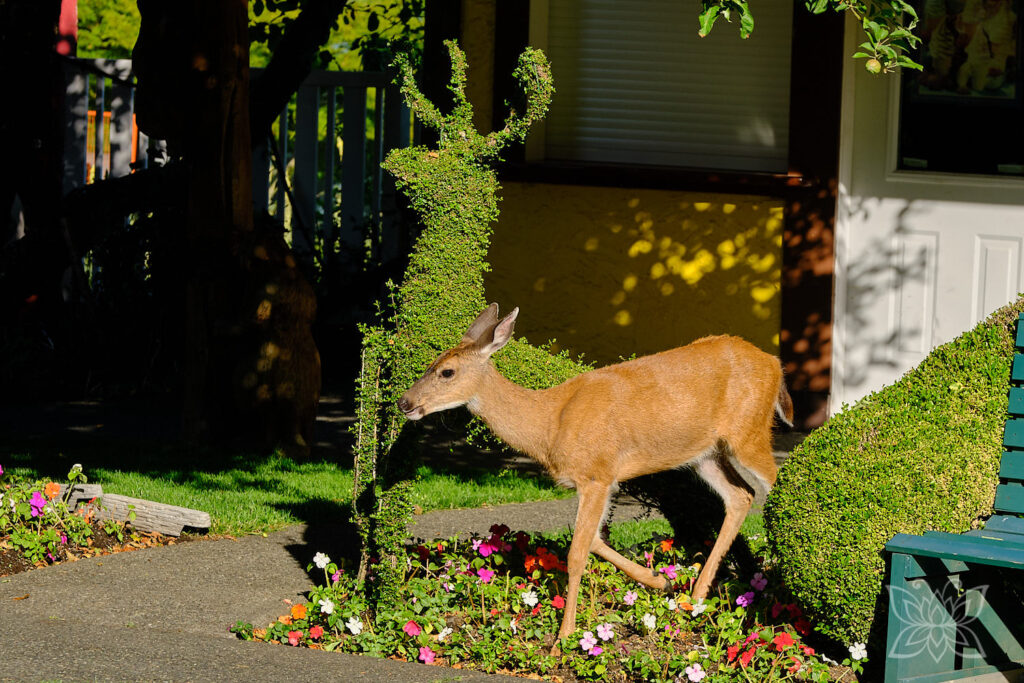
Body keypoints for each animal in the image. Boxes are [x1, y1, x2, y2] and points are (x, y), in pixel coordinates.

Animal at [397, 304, 793, 648]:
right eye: (432, 363)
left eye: (447, 372)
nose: (404, 402)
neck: (550, 424)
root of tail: (775, 364)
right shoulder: (600, 480)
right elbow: (594, 541)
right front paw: (658, 581)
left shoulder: (596, 475)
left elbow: (576, 554)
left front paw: (564, 638)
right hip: (706, 453)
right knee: (741, 495)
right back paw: (696, 594)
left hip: (751, 432)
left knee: (778, 480)